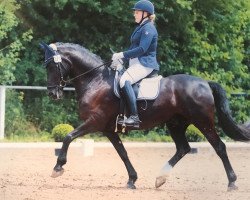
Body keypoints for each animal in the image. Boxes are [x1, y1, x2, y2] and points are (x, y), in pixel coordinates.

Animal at [40, 42, 250, 191]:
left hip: (203, 122)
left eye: (51, 66)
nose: (52, 93)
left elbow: (68, 137)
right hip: (175, 124)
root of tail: (205, 83)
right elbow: (122, 152)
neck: (95, 80)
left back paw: (232, 182)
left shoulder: (94, 122)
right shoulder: (108, 129)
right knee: (183, 148)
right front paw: (132, 180)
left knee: (219, 147)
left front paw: (58, 167)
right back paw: (160, 178)